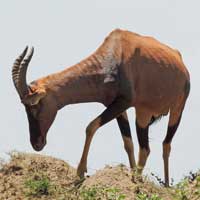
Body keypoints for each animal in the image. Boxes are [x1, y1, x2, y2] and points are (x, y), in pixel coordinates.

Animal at [12, 29, 191, 186]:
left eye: (34, 105)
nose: (37, 144)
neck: (116, 54)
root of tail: (180, 61)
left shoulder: (123, 102)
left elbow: (90, 127)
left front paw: (80, 173)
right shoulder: (117, 107)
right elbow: (128, 143)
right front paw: (131, 177)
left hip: (175, 109)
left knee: (162, 146)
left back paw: (165, 185)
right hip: (144, 112)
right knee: (146, 148)